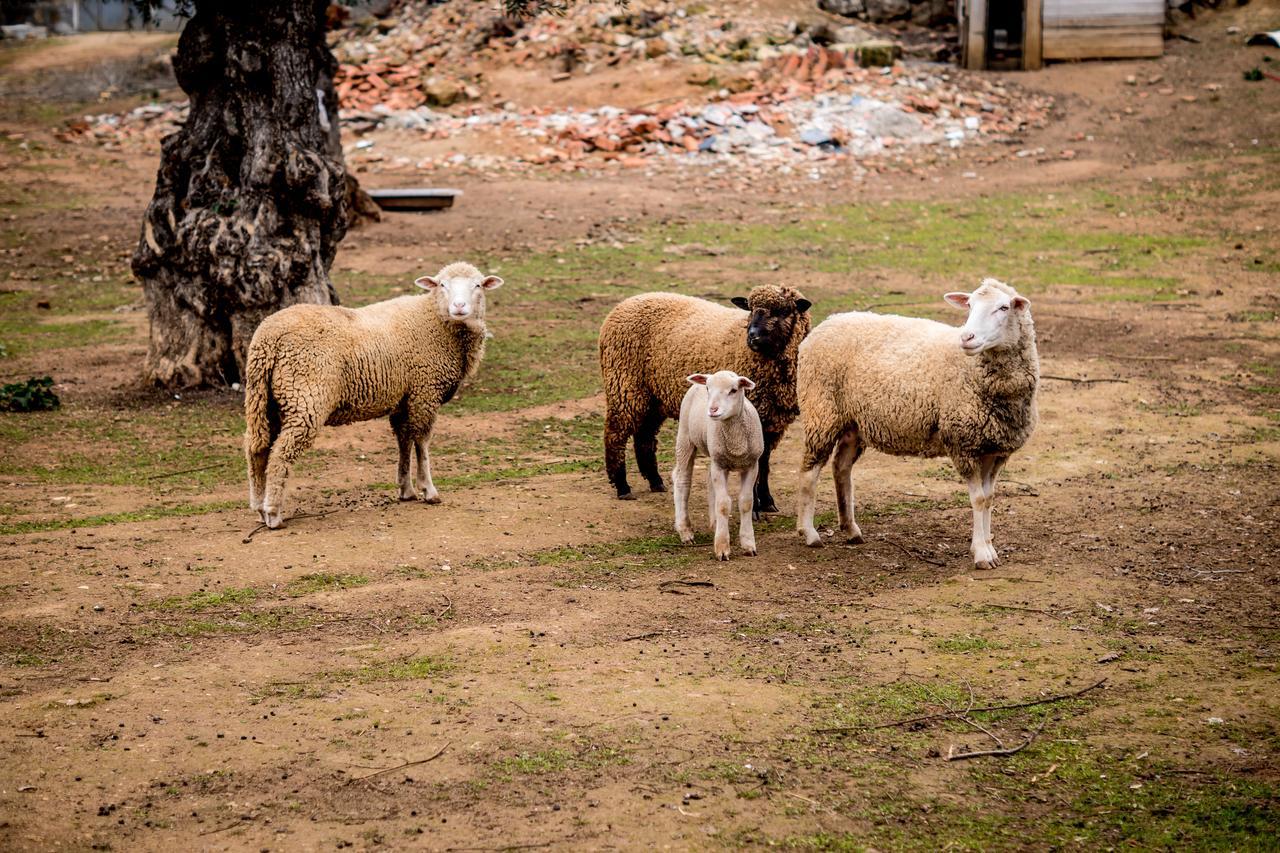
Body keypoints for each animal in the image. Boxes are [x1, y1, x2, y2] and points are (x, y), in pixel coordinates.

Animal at [241, 261, 501, 525]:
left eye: (477, 285)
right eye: (442, 285)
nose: (459, 306)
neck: (434, 320)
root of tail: (268, 338)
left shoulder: (404, 399)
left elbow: (404, 440)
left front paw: (406, 489)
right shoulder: (424, 391)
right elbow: (421, 442)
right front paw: (428, 489)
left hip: (264, 399)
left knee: (256, 449)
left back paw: (259, 507)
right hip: (305, 397)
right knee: (280, 454)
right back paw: (273, 513)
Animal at [596, 284, 808, 512]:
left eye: (783, 311)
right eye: (750, 309)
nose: (753, 336)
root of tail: (622, 305)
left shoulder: (771, 422)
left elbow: (765, 462)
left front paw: (767, 502)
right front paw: (754, 507)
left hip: (653, 397)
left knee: (644, 436)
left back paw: (655, 481)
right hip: (624, 384)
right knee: (615, 434)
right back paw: (622, 486)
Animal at [675, 366, 762, 558]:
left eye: (733, 390)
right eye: (708, 388)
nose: (713, 410)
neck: (736, 442)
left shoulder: (752, 465)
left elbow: (746, 502)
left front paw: (748, 544)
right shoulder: (720, 466)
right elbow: (723, 505)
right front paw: (722, 547)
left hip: (715, 455)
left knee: (709, 479)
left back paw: (714, 524)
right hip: (685, 437)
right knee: (682, 481)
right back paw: (685, 531)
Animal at [798, 279, 1039, 568]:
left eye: (1003, 308)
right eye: (969, 306)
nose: (966, 338)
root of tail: (827, 323)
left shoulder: (995, 449)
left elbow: (989, 498)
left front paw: (989, 549)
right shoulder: (962, 444)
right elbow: (979, 499)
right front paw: (981, 553)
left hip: (852, 423)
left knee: (841, 468)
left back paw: (851, 529)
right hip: (821, 411)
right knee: (809, 472)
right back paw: (809, 533)